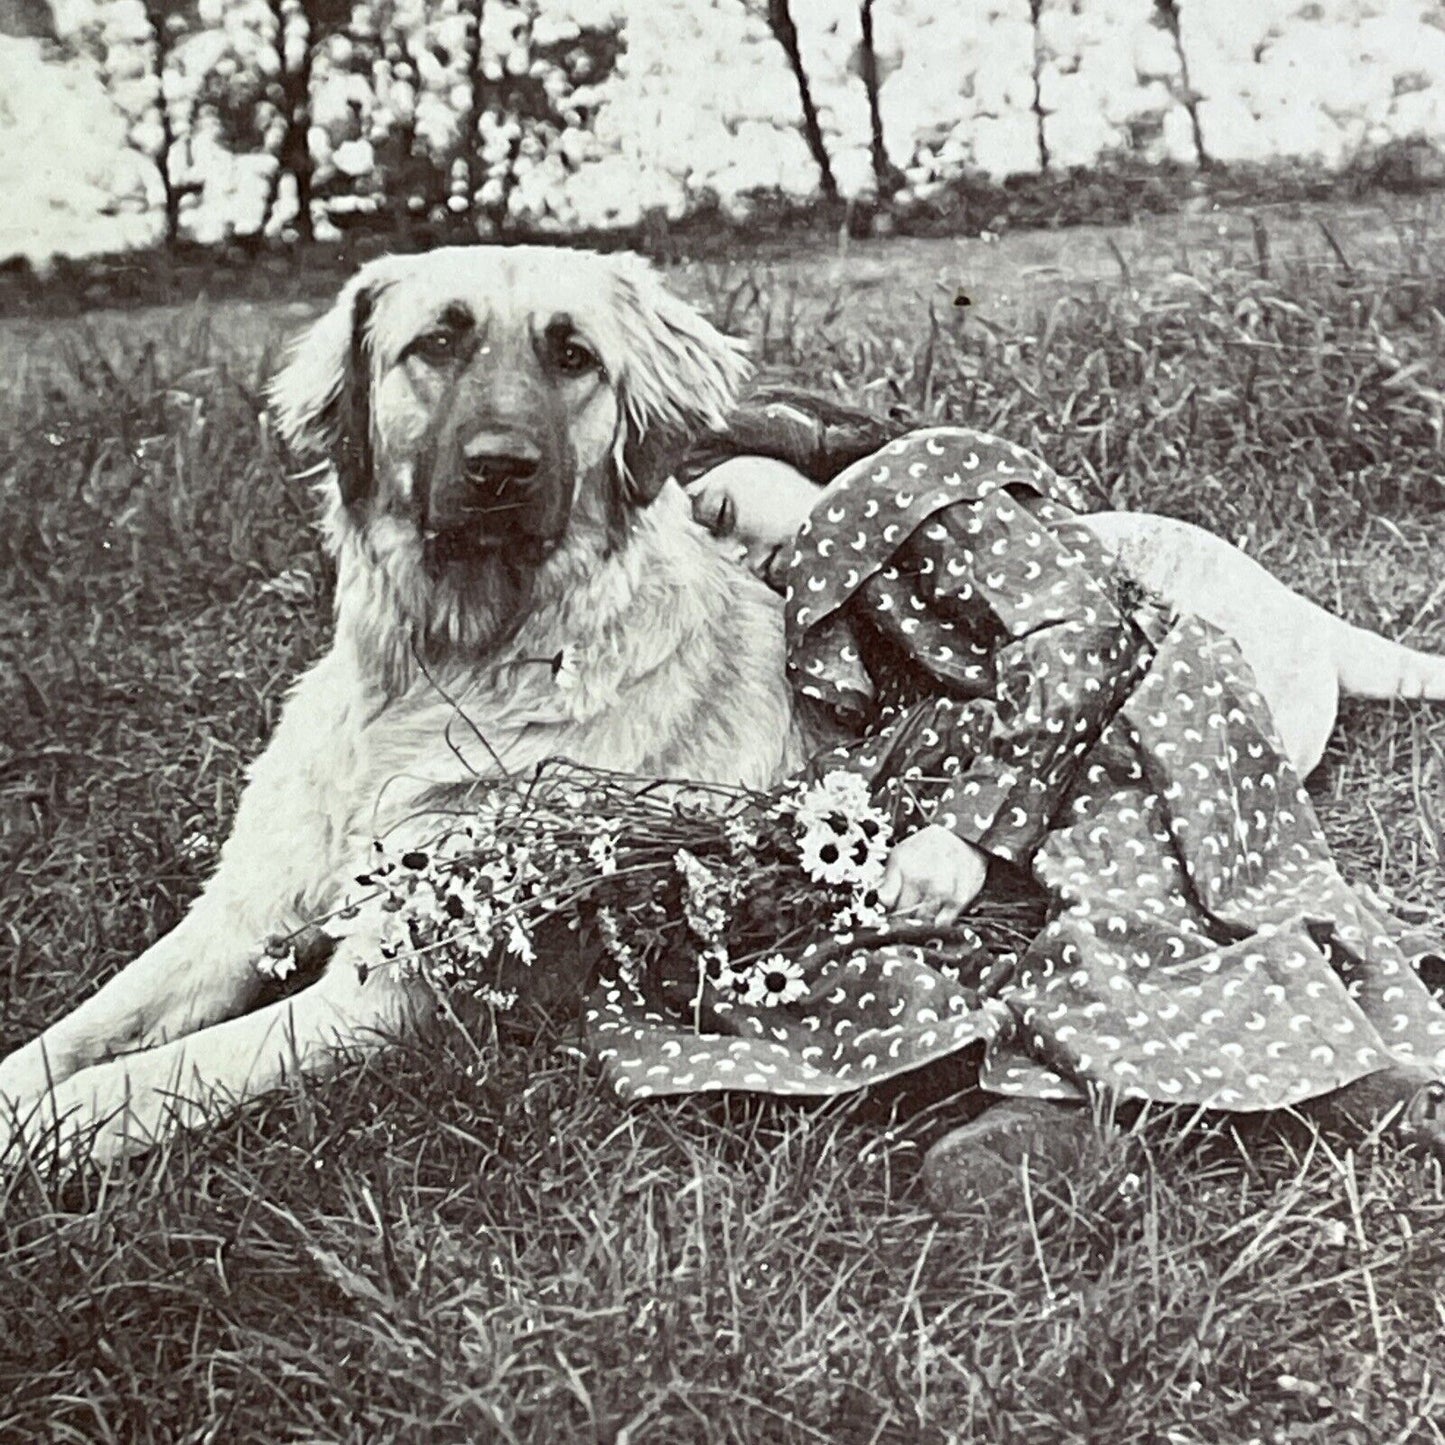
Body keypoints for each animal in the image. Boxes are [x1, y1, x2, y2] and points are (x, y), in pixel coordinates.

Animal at [2, 251, 1445, 1173]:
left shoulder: (383, 991)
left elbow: (144, 1081)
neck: (442, 672)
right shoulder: (230, 924)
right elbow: (78, 1036)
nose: (499, 469)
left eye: (574, 357)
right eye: (434, 344)